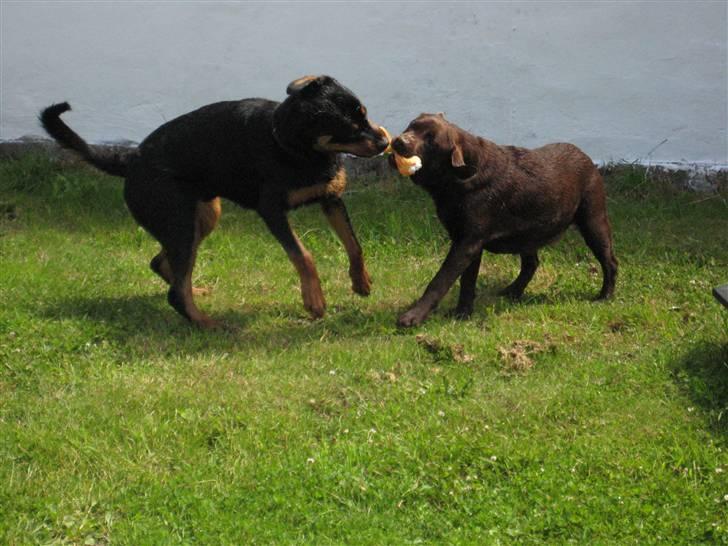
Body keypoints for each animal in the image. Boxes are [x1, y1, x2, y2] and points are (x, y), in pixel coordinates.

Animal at [42, 74, 390, 326]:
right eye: (349, 128)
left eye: (364, 113)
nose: (386, 142)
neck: (296, 149)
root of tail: (130, 160)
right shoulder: (272, 211)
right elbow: (303, 255)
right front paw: (314, 300)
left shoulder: (331, 198)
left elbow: (354, 244)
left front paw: (361, 282)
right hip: (180, 222)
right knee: (175, 291)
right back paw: (207, 323)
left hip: (204, 216)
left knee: (165, 266)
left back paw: (196, 291)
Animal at [390, 112, 616, 326]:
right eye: (411, 125)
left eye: (431, 140)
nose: (399, 141)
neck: (460, 177)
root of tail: (586, 157)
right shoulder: (468, 242)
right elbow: (467, 281)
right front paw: (462, 313)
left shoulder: (467, 243)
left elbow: (440, 280)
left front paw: (413, 316)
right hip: (528, 233)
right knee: (531, 264)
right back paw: (513, 292)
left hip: (593, 220)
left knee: (610, 261)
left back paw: (605, 296)